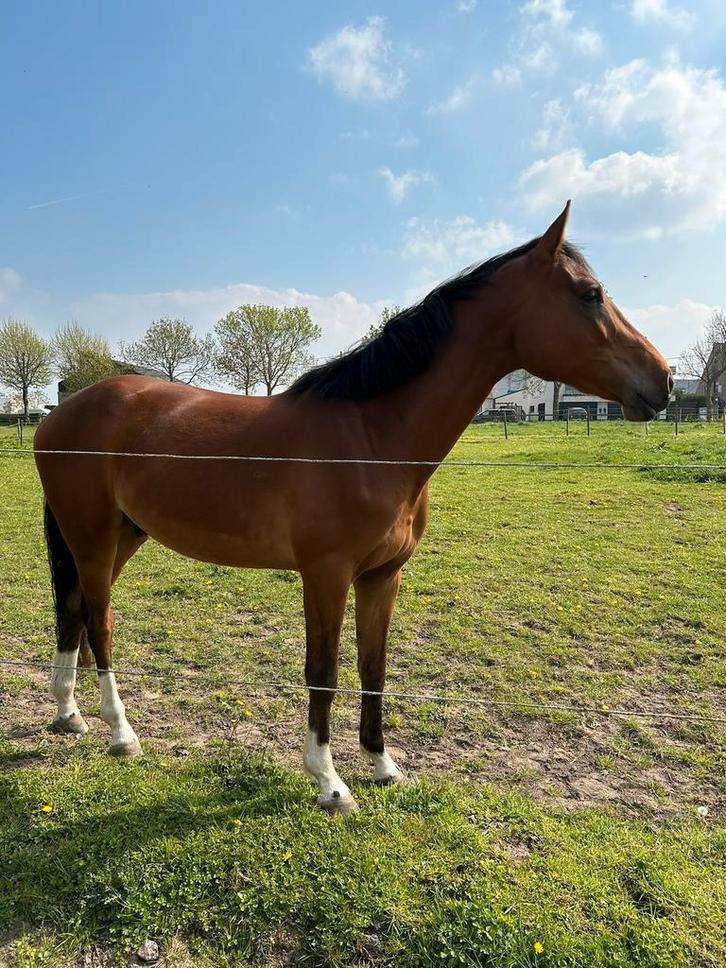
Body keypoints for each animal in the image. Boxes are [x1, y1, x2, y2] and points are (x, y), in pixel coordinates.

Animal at [34, 203, 672, 814]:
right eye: (589, 294)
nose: (663, 381)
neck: (369, 438)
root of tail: (60, 414)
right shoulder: (326, 575)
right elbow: (324, 673)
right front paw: (331, 783)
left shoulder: (381, 577)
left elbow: (374, 668)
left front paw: (383, 764)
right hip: (93, 538)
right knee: (100, 622)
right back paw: (121, 733)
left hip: (121, 536)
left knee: (74, 611)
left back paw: (69, 714)